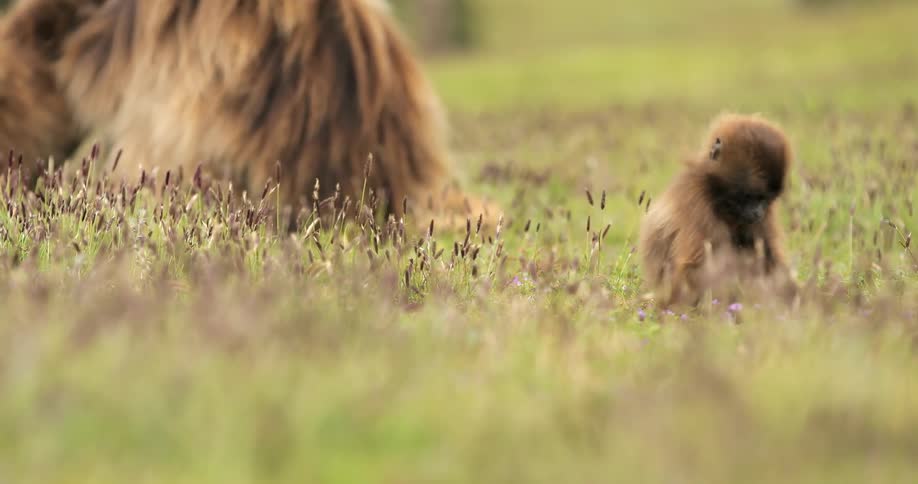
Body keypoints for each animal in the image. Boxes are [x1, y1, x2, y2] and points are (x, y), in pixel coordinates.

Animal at [638, 112, 799, 308]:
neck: (717, 197)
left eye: (766, 199)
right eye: (750, 196)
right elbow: (696, 268)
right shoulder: (695, 198)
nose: (758, 213)